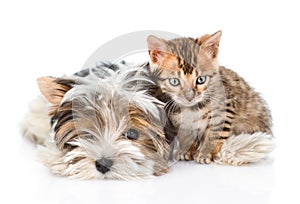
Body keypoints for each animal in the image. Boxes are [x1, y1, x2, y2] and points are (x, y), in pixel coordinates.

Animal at [145, 30, 274, 165]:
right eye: (174, 81)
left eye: (201, 80)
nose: (189, 97)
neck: (192, 108)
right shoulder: (178, 119)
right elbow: (186, 134)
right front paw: (187, 150)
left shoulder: (226, 108)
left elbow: (216, 133)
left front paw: (206, 152)